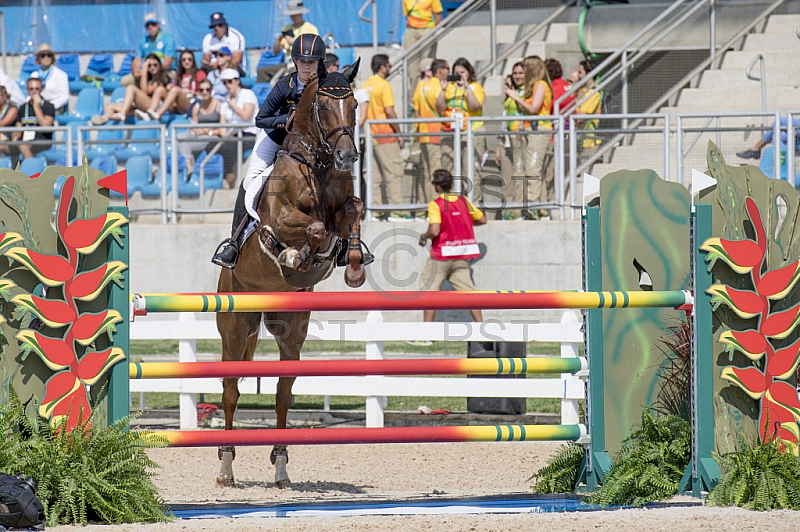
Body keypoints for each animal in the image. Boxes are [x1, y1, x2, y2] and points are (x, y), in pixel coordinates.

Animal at [217, 58, 370, 486]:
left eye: (354, 105)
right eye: (323, 106)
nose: (347, 156)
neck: (316, 165)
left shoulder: (344, 206)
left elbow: (351, 211)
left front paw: (353, 265)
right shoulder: (282, 218)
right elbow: (312, 227)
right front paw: (294, 257)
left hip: (291, 327)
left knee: (283, 392)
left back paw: (281, 466)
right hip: (236, 327)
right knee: (230, 390)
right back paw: (226, 466)